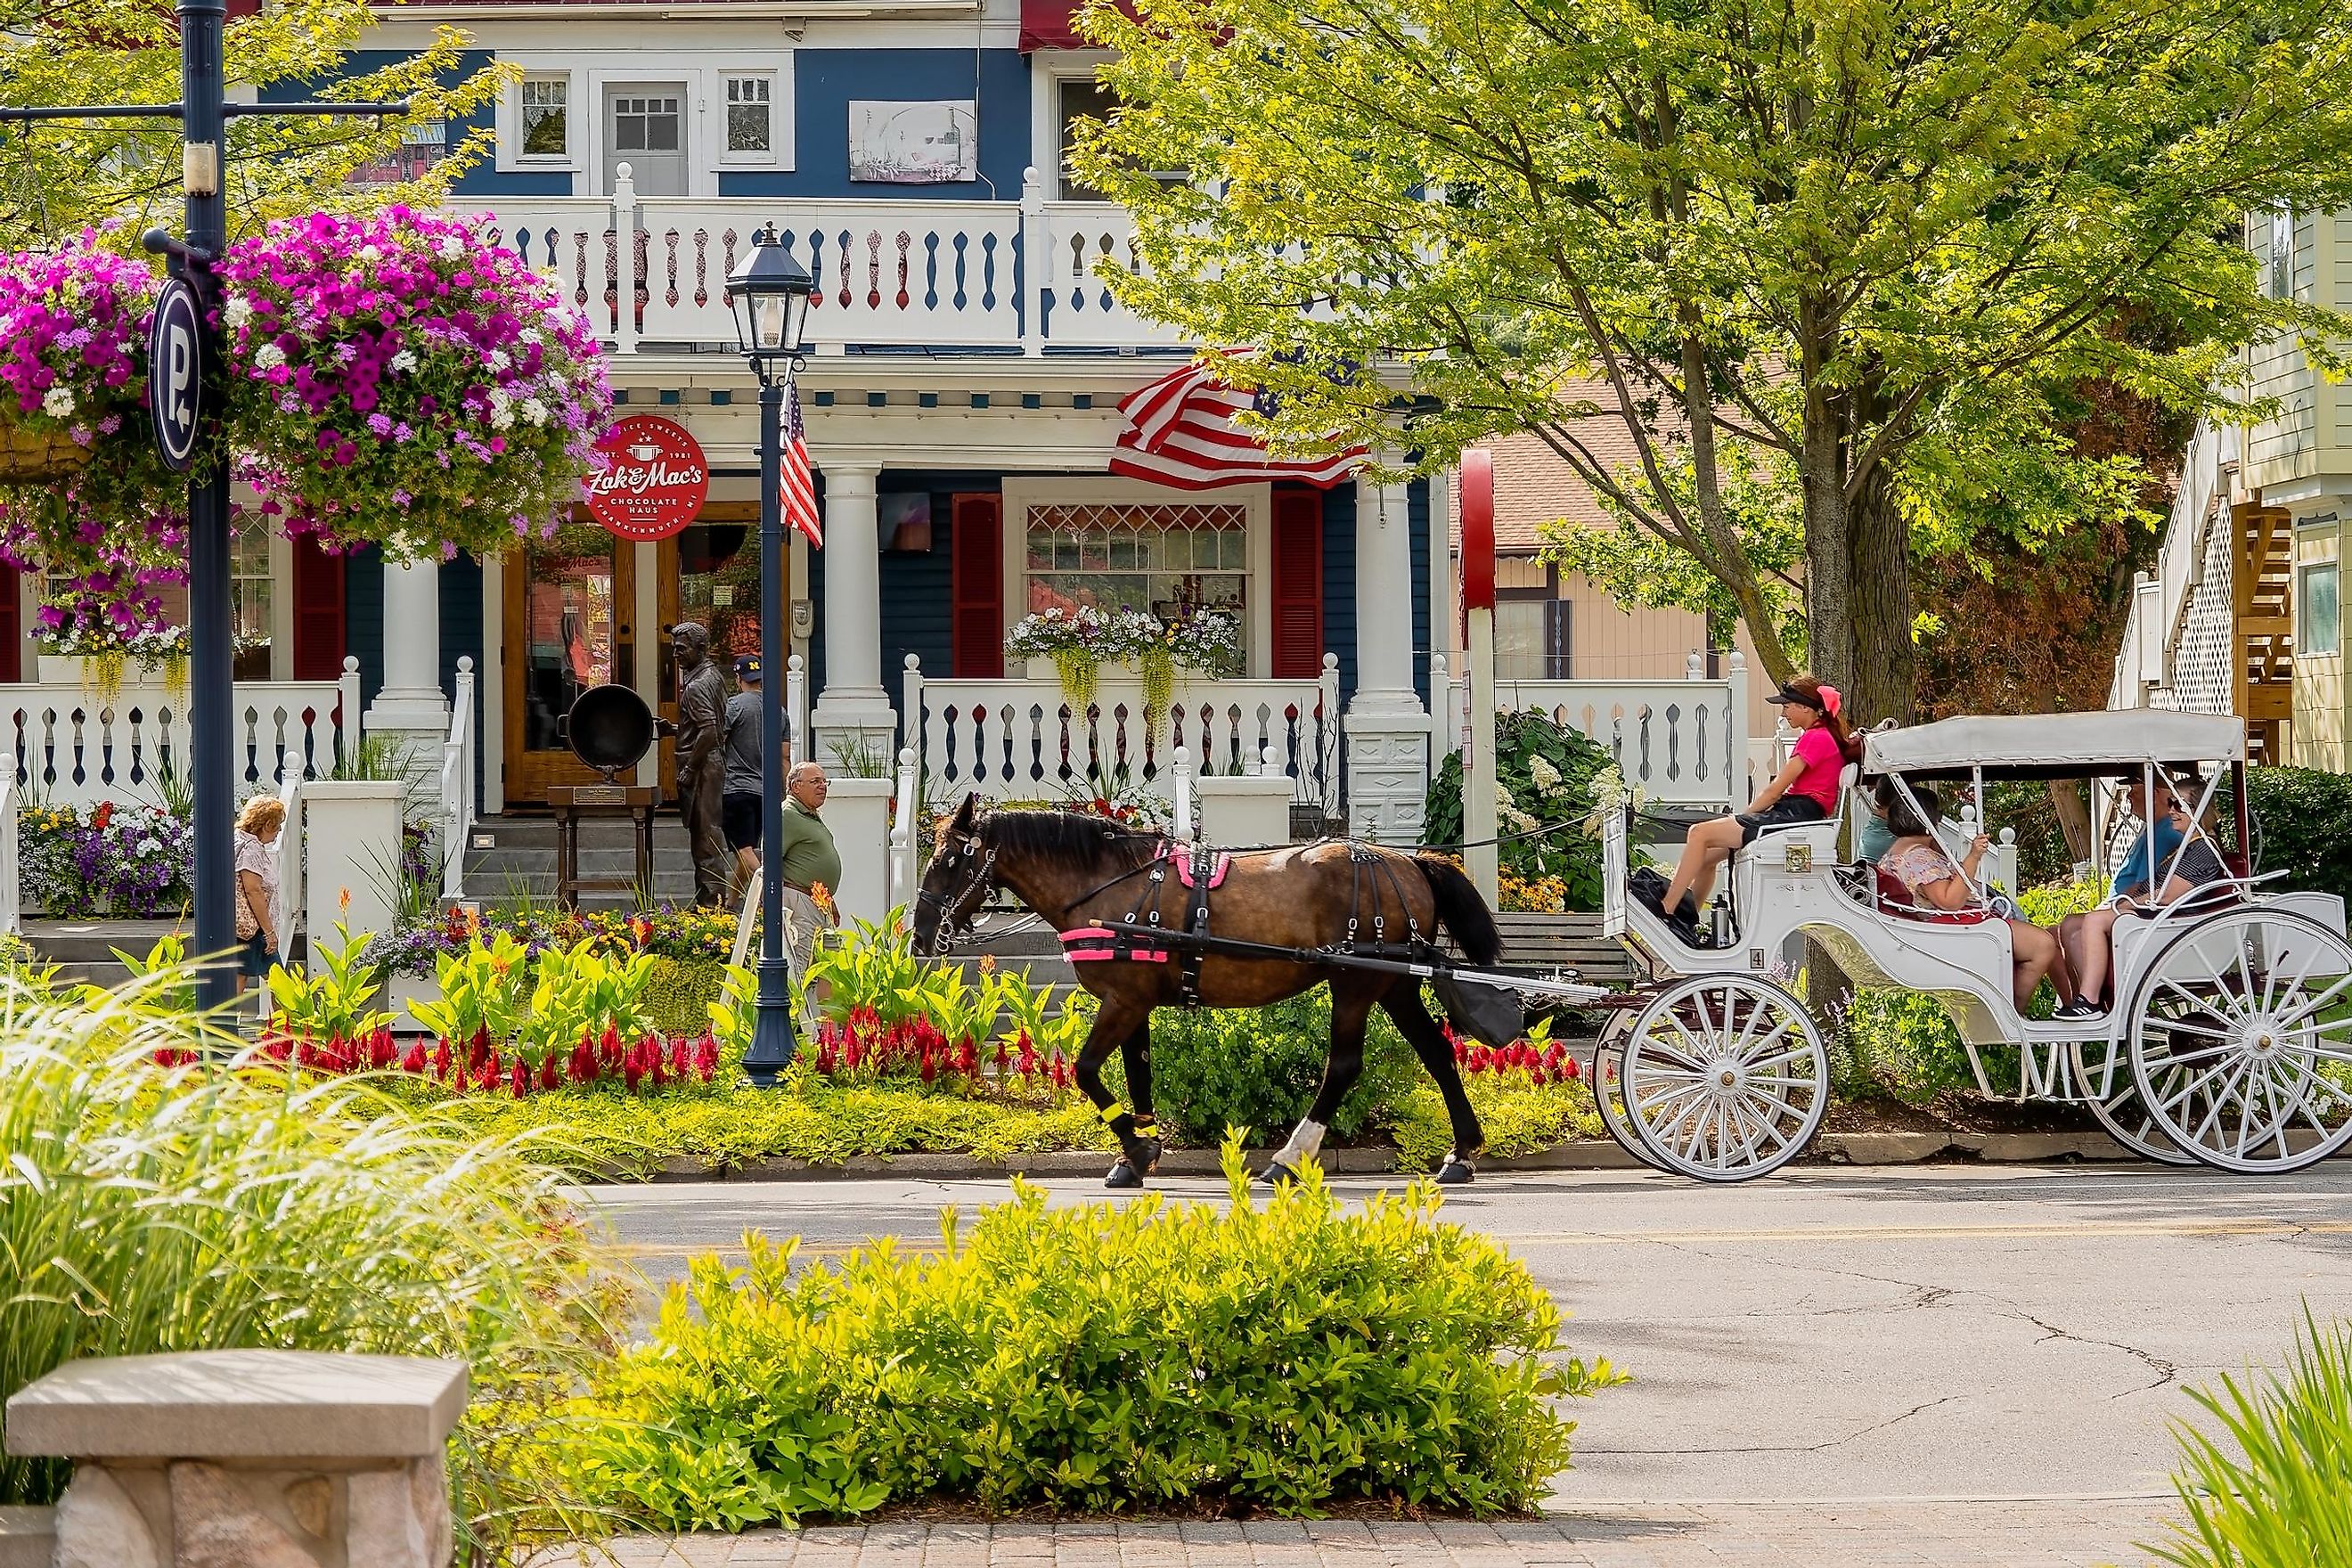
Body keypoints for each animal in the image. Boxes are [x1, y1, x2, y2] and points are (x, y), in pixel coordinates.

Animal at [908, 804, 1496, 1184]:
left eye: (949, 861)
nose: (919, 935)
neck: (1107, 884)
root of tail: (1409, 862)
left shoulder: (1123, 1002)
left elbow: (1086, 1070)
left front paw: (1137, 1147)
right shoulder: (1134, 1000)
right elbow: (1137, 1072)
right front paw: (1137, 1152)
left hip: (1354, 982)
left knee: (1345, 1065)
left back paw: (1289, 1157)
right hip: (1394, 984)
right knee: (1437, 1052)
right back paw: (1461, 1152)